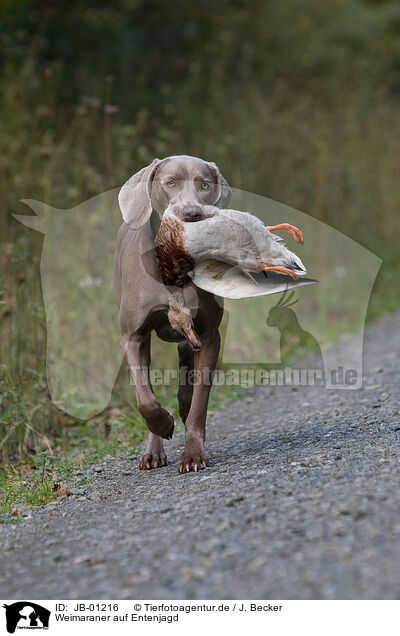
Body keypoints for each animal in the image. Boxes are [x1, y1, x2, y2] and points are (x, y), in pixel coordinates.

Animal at [112, 154, 231, 472]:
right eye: (170, 182)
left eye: (204, 184)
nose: (191, 213)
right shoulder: (132, 336)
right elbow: (145, 399)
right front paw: (163, 424)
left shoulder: (209, 335)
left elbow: (200, 403)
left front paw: (193, 454)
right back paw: (154, 450)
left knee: (185, 354)